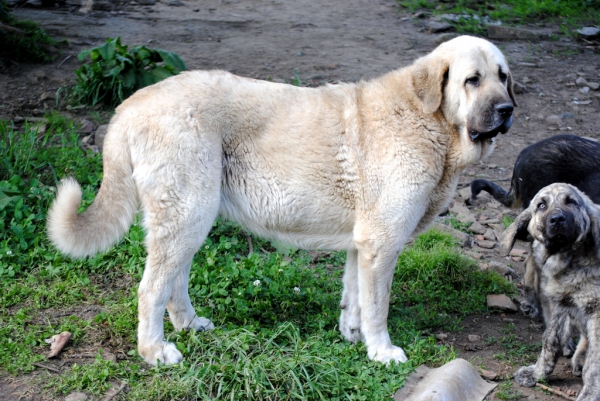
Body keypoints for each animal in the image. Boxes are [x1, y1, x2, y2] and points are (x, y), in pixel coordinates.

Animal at [502, 183, 600, 398]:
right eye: (541, 205)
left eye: (571, 202)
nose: (557, 219)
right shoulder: (562, 305)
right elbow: (550, 340)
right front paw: (537, 373)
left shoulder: (597, 314)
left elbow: (594, 364)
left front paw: (589, 394)